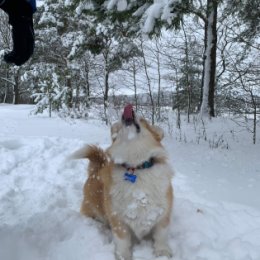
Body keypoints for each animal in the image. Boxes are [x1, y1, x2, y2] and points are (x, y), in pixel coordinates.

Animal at [74, 104, 174, 258]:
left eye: (143, 120)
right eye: (119, 126)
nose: (128, 107)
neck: (136, 167)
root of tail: (95, 170)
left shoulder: (163, 215)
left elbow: (161, 235)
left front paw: (162, 252)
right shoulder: (118, 219)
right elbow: (122, 240)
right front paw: (123, 256)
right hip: (91, 211)